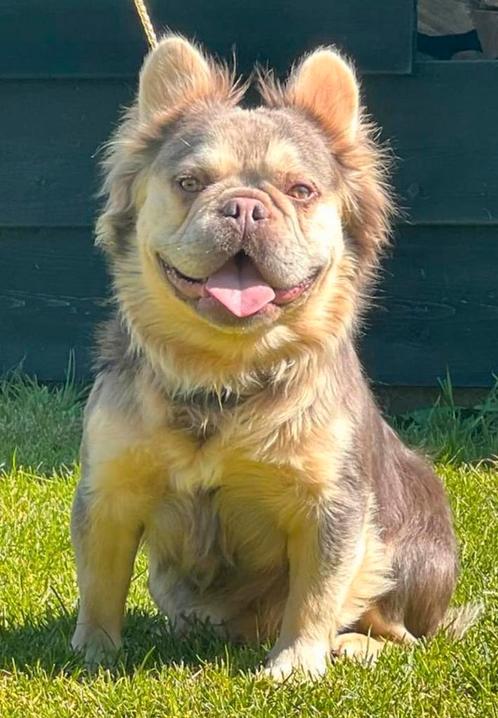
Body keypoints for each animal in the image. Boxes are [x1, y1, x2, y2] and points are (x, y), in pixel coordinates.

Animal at [71, 38, 466, 680]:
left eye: (300, 191)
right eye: (189, 182)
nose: (244, 207)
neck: (223, 370)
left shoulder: (330, 509)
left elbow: (315, 595)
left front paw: (295, 666)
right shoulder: (108, 494)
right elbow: (99, 580)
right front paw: (93, 650)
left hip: (409, 547)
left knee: (404, 633)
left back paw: (357, 645)